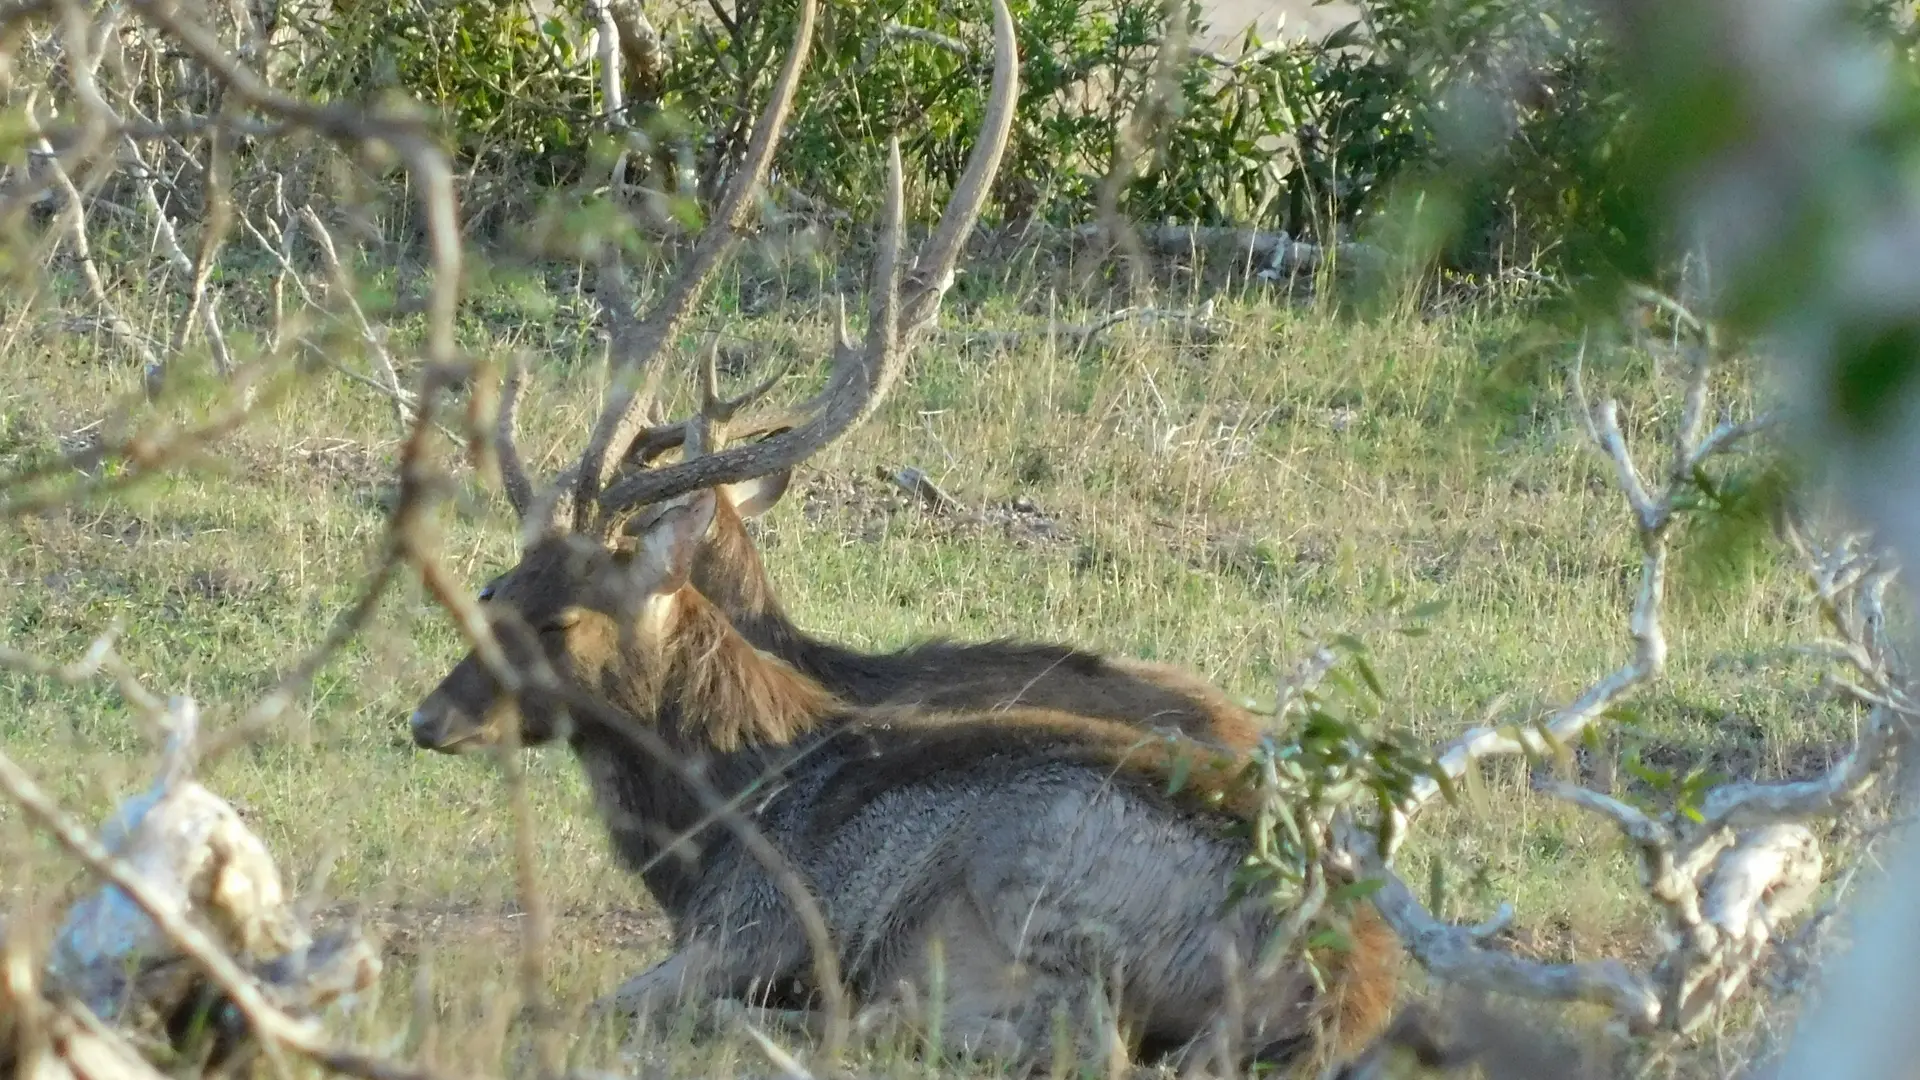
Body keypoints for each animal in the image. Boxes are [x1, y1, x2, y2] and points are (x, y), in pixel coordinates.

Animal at [412, 491, 1405, 1068]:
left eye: (561, 620)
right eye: (493, 588)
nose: (428, 719)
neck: (716, 818)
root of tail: (1353, 982)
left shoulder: (751, 929)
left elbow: (586, 1008)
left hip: (1033, 875)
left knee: (1087, 1042)